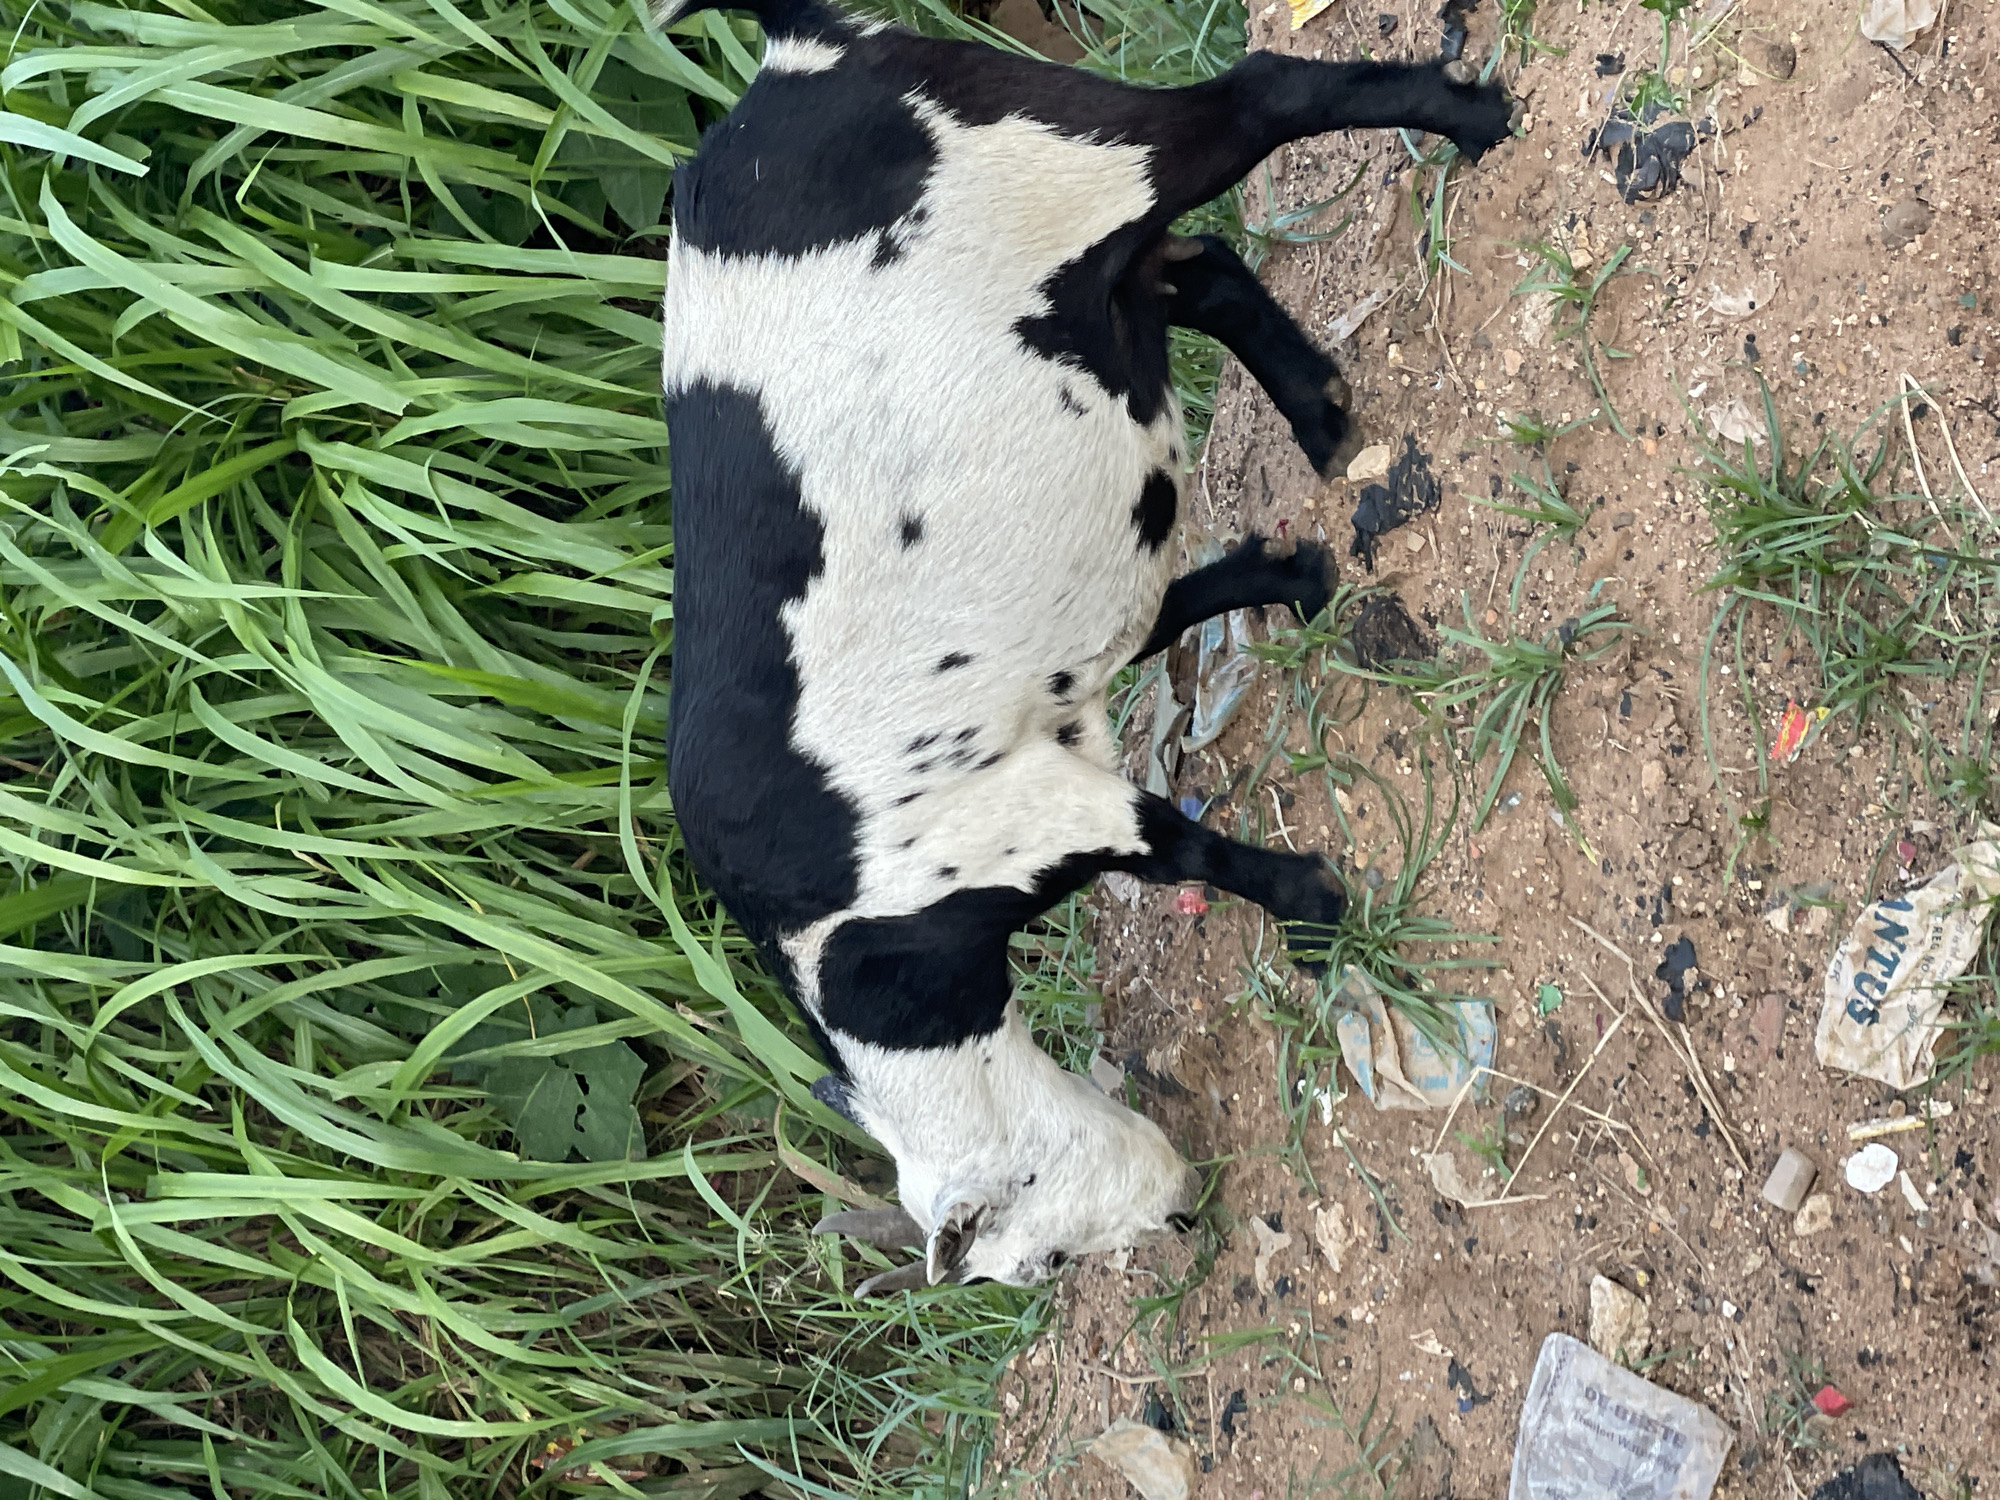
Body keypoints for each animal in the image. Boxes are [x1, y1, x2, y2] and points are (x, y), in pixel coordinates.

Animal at [658, 0, 1517, 1292]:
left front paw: (1311, 908)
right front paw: (1293, 580)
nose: (1180, 1222)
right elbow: (1170, 614)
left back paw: (1470, 123)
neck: (871, 964)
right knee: (1192, 270)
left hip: (1070, 154)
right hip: (1076, 274)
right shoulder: (1055, 721)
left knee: (1265, 98)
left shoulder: (1019, 816)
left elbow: (1179, 851)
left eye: (1043, 1263)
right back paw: (1320, 416)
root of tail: (790, 54)